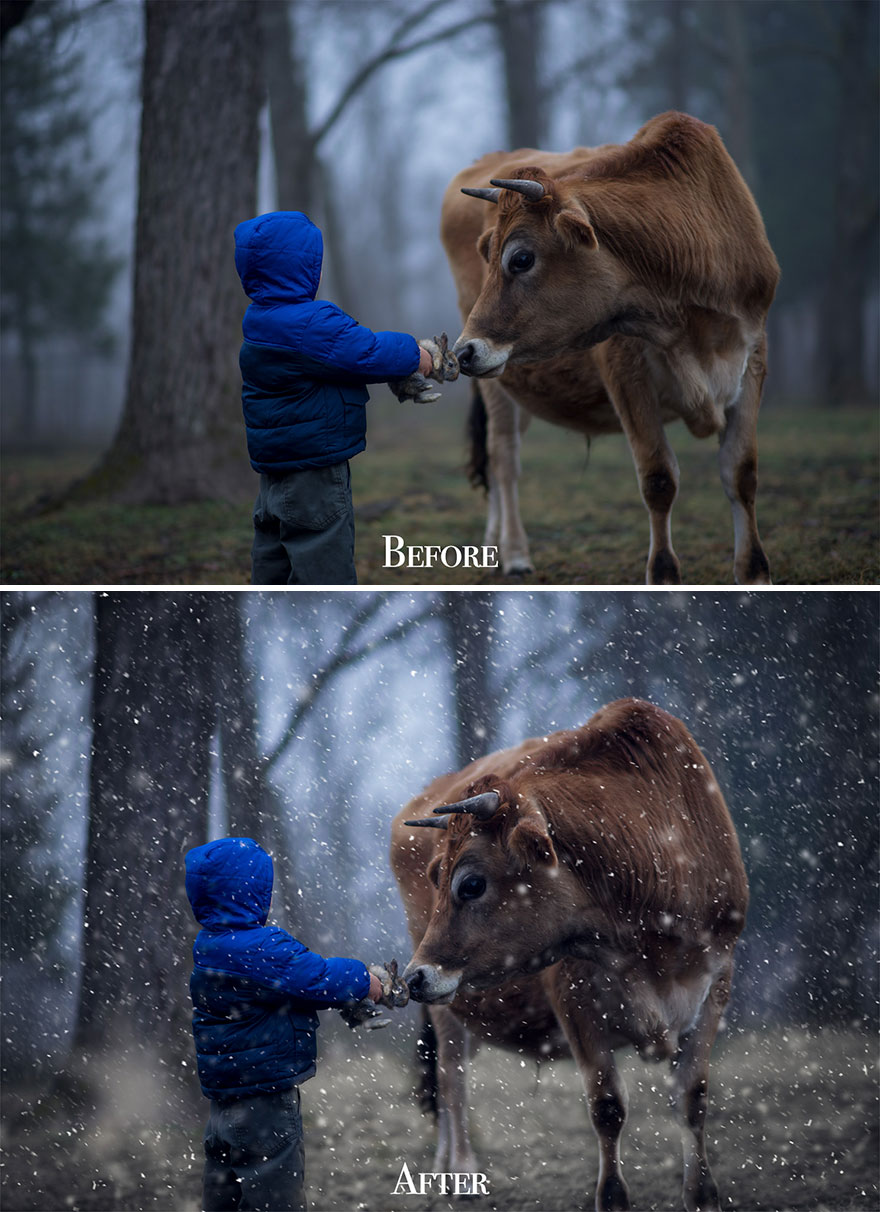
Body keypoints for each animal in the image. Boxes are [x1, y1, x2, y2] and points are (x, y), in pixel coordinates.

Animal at [392, 702, 751, 1212]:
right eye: (434, 875)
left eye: (471, 883)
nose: (415, 977)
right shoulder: (574, 994)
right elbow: (607, 1105)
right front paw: (613, 1198)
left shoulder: (717, 980)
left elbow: (692, 1097)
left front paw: (701, 1194)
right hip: (447, 1009)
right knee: (451, 1079)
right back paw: (460, 1169)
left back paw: (444, 1165)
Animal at [443, 111, 780, 584]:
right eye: (488, 256)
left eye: (521, 258)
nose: (464, 351)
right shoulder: (625, 368)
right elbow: (658, 479)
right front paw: (664, 576)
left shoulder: (752, 358)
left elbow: (741, 472)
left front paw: (754, 573)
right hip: (496, 383)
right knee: (503, 457)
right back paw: (514, 552)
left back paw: (493, 543)